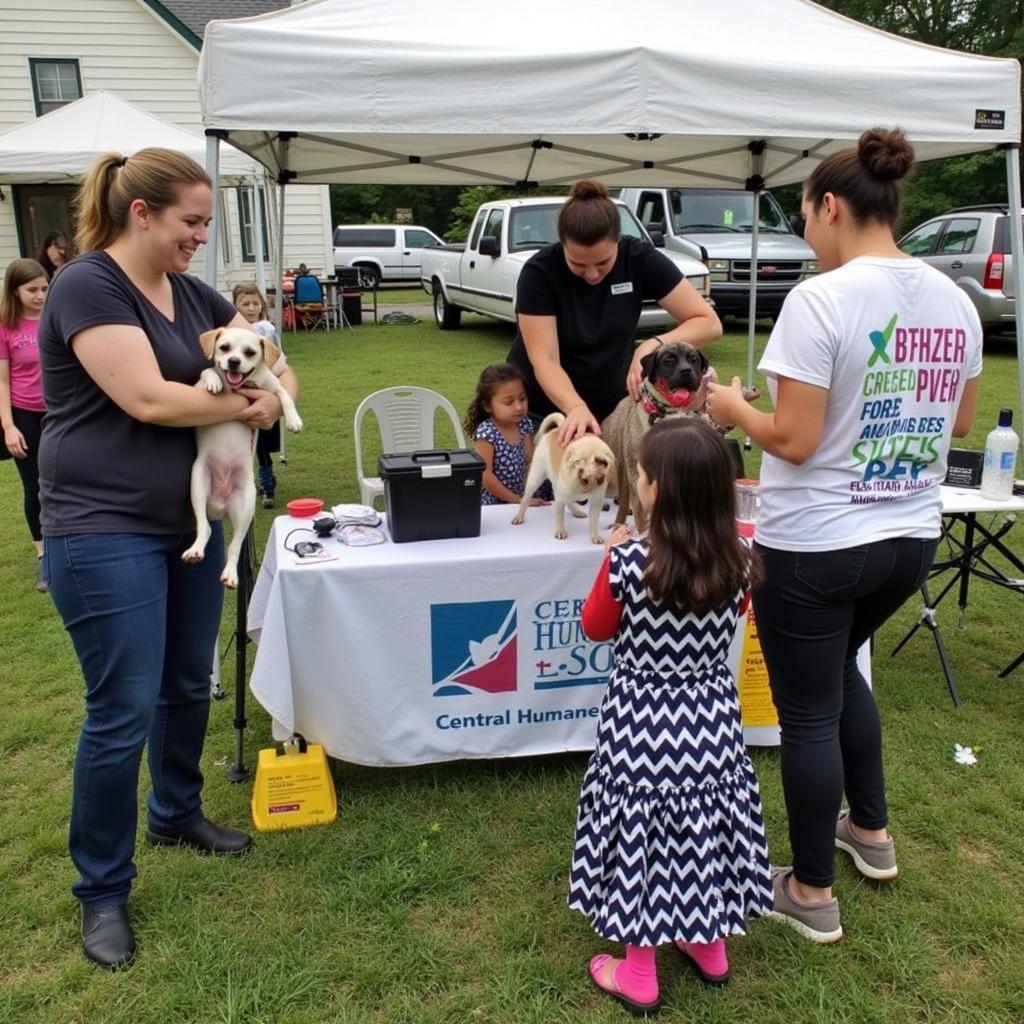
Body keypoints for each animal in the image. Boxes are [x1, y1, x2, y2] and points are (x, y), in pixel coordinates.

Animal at [182, 323, 301, 589]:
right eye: (224, 348)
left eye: (249, 352)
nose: (234, 362)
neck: (239, 386)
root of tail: (219, 506)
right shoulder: (195, 390)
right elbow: (207, 371)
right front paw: (214, 381)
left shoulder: (273, 388)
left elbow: (284, 396)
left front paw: (294, 420)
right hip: (198, 484)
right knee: (204, 528)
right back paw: (195, 550)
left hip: (245, 509)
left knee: (234, 547)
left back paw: (230, 575)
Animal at [512, 413, 614, 548]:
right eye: (580, 460)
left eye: (603, 460)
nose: (599, 462)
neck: (582, 484)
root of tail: (556, 430)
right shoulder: (560, 499)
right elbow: (559, 516)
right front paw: (560, 530)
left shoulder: (596, 502)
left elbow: (593, 521)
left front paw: (594, 536)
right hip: (535, 479)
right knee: (525, 499)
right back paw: (519, 516)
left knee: (569, 500)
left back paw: (577, 511)